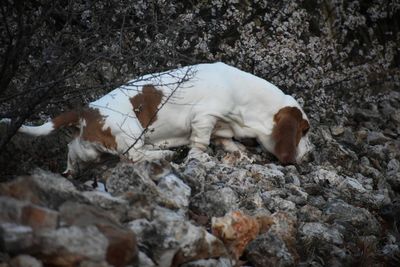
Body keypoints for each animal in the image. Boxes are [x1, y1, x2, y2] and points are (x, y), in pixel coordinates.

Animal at [15, 62, 310, 176]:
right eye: (305, 131)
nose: (311, 155)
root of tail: (86, 111)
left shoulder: (221, 126)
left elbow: (225, 139)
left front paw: (239, 152)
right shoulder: (205, 117)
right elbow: (201, 143)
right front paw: (202, 158)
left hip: (89, 149)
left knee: (73, 149)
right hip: (131, 131)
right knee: (133, 157)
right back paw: (164, 155)